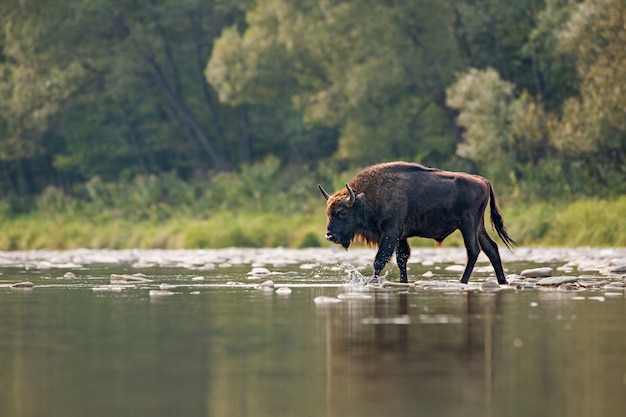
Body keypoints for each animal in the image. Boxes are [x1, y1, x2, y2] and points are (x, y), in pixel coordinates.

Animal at [320, 161, 516, 284]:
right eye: (327, 212)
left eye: (342, 212)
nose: (330, 235)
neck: (367, 198)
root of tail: (484, 181)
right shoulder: (400, 237)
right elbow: (402, 259)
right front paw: (403, 281)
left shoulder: (390, 233)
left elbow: (380, 260)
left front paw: (373, 281)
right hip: (479, 227)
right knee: (491, 249)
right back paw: (502, 281)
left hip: (468, 225)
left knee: (473, 250)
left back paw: (463, 280)